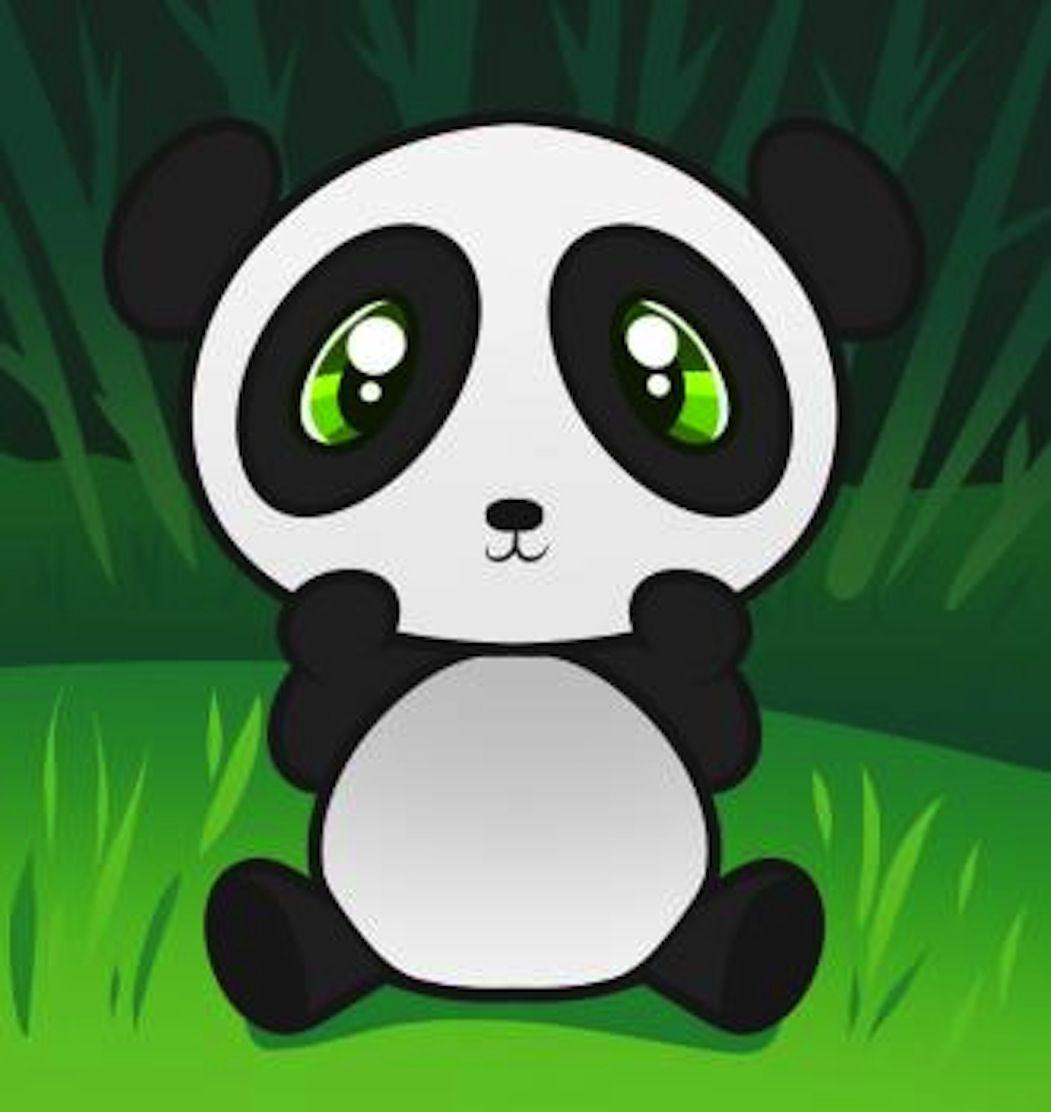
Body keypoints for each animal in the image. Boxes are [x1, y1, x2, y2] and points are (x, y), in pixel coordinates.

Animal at [105, 116, 921, 1035]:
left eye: (667, 381)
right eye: (357, 386)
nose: (514, 510)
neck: (514, 647)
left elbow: (720, 740)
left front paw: (685, 609)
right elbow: (307, 738)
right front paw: (342, 609)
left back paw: (753, 937)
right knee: (287, 920)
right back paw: (274, 939)